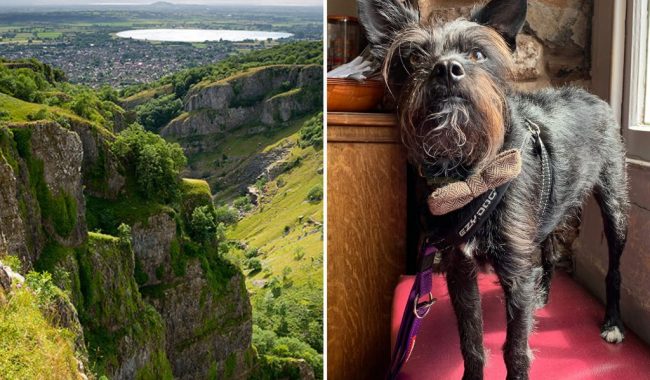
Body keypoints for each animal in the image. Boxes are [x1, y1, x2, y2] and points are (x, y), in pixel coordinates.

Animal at [360, 0, 628, 378]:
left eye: (477, 53)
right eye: (413, 57)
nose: (446, 69)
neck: (469, 177)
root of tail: (592, 96)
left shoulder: (515, 274)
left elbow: (515, 350)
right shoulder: (460, 271)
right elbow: (472, 342)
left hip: (614, 206)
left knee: (614, 268)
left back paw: (612, 322)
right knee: (550, 250)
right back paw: (544, 294)